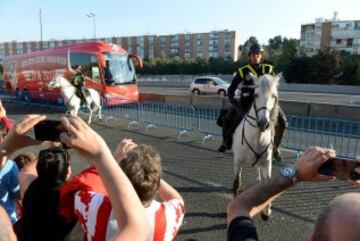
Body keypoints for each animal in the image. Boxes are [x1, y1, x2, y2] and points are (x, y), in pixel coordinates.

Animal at [232, 73, 280, 220]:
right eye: (256, 95)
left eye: (274, 96)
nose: (263, 123)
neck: (257, 137)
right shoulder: (238, 161)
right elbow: (236, 183)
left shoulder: (267, 162)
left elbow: (268, 187)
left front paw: (266, 212)